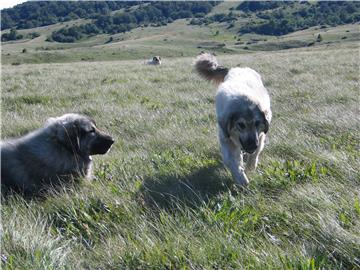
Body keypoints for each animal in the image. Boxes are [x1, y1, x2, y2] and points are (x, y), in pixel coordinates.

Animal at [195, 53, 272, 187]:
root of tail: (237, 68)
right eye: (241, 125)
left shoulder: (260, 136)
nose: (252, 145)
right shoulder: (226, 139)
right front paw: (241, 178)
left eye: (257, 123)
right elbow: (232, 161)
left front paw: (250, 166)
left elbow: (255, 153)